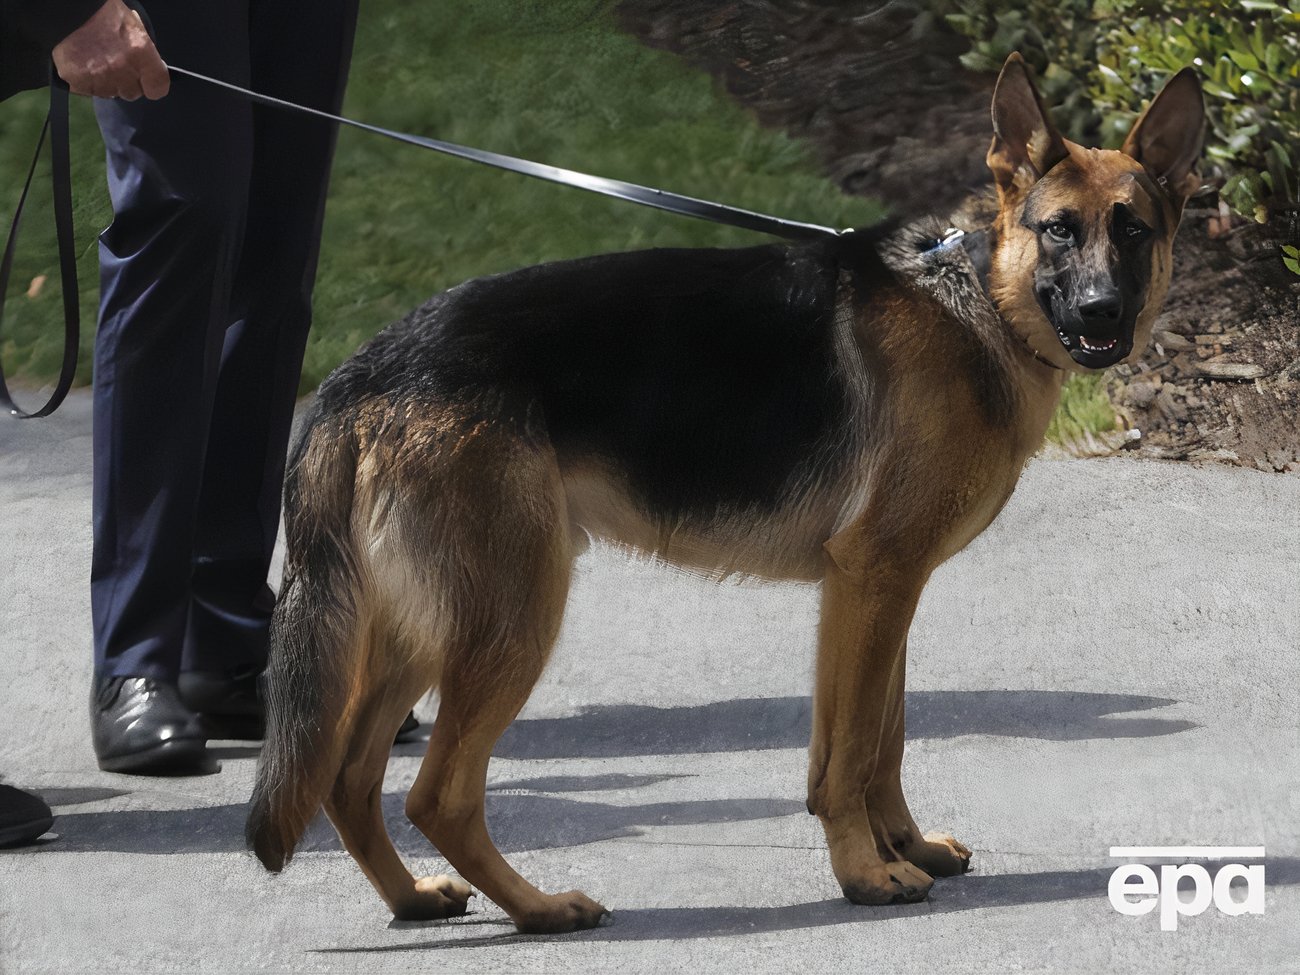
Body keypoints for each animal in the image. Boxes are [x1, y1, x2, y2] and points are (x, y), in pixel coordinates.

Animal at [245, 55, 1206, 941]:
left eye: (1132, 230)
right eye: (1058, 231)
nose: (1102, 310)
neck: (980, 299)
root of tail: (357, 376)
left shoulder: (881, 589)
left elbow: (880, 738)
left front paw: (903, 844)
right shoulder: (875, 579)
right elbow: (851, 752)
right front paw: (866, 872)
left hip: (424, 627)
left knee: (346, 774)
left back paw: (412, 898)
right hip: (511, 616)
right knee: (436, 793)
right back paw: (542, 907)